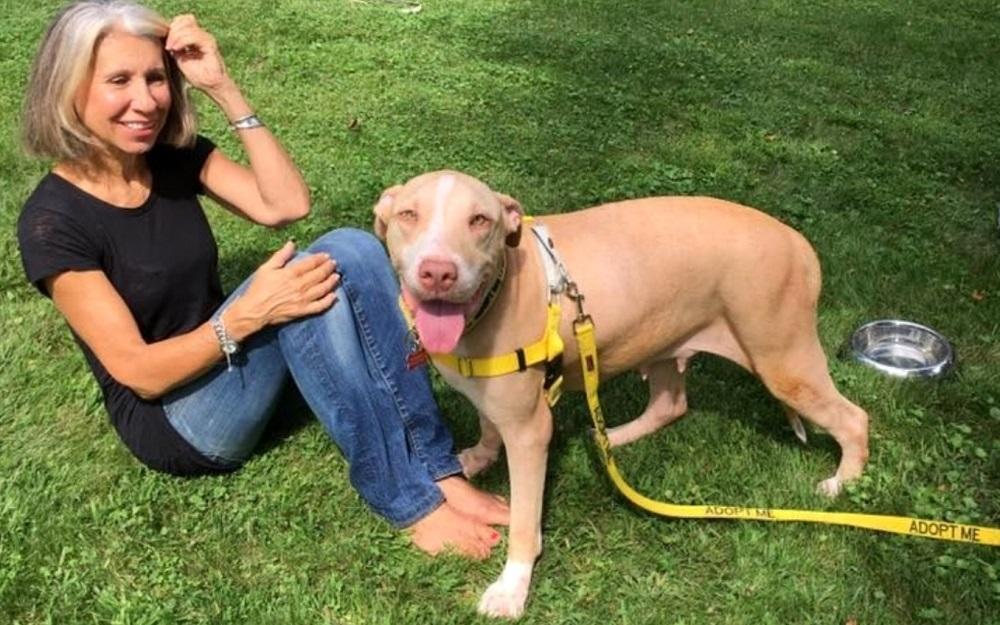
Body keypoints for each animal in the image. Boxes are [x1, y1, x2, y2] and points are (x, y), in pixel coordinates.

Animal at [372, 170, 869, 618]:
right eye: (409, 215)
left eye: (479, 220)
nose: (437, 272)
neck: (499, 289)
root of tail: (798, 242)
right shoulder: (495, 399)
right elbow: (488, 424)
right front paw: (478, 457)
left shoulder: (530, 431)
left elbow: (524, 524)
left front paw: (511, 589)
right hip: (666, 338)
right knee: (671, 405)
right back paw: (611, 436)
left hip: (784, 362)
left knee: (854, 419)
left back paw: (841, 483)